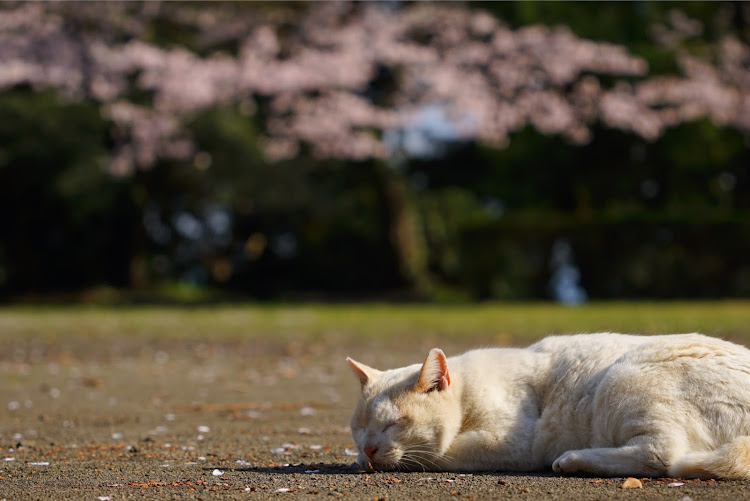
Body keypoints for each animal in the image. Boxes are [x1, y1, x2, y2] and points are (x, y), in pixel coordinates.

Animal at [348, 332, 750, 476]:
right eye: (359, 430)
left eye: (394, 423)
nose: (368, 448)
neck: (466, 391)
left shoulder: (517, 441)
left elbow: (438, 453)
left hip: (626, 377)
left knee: (662, 455)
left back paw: (573, 460)